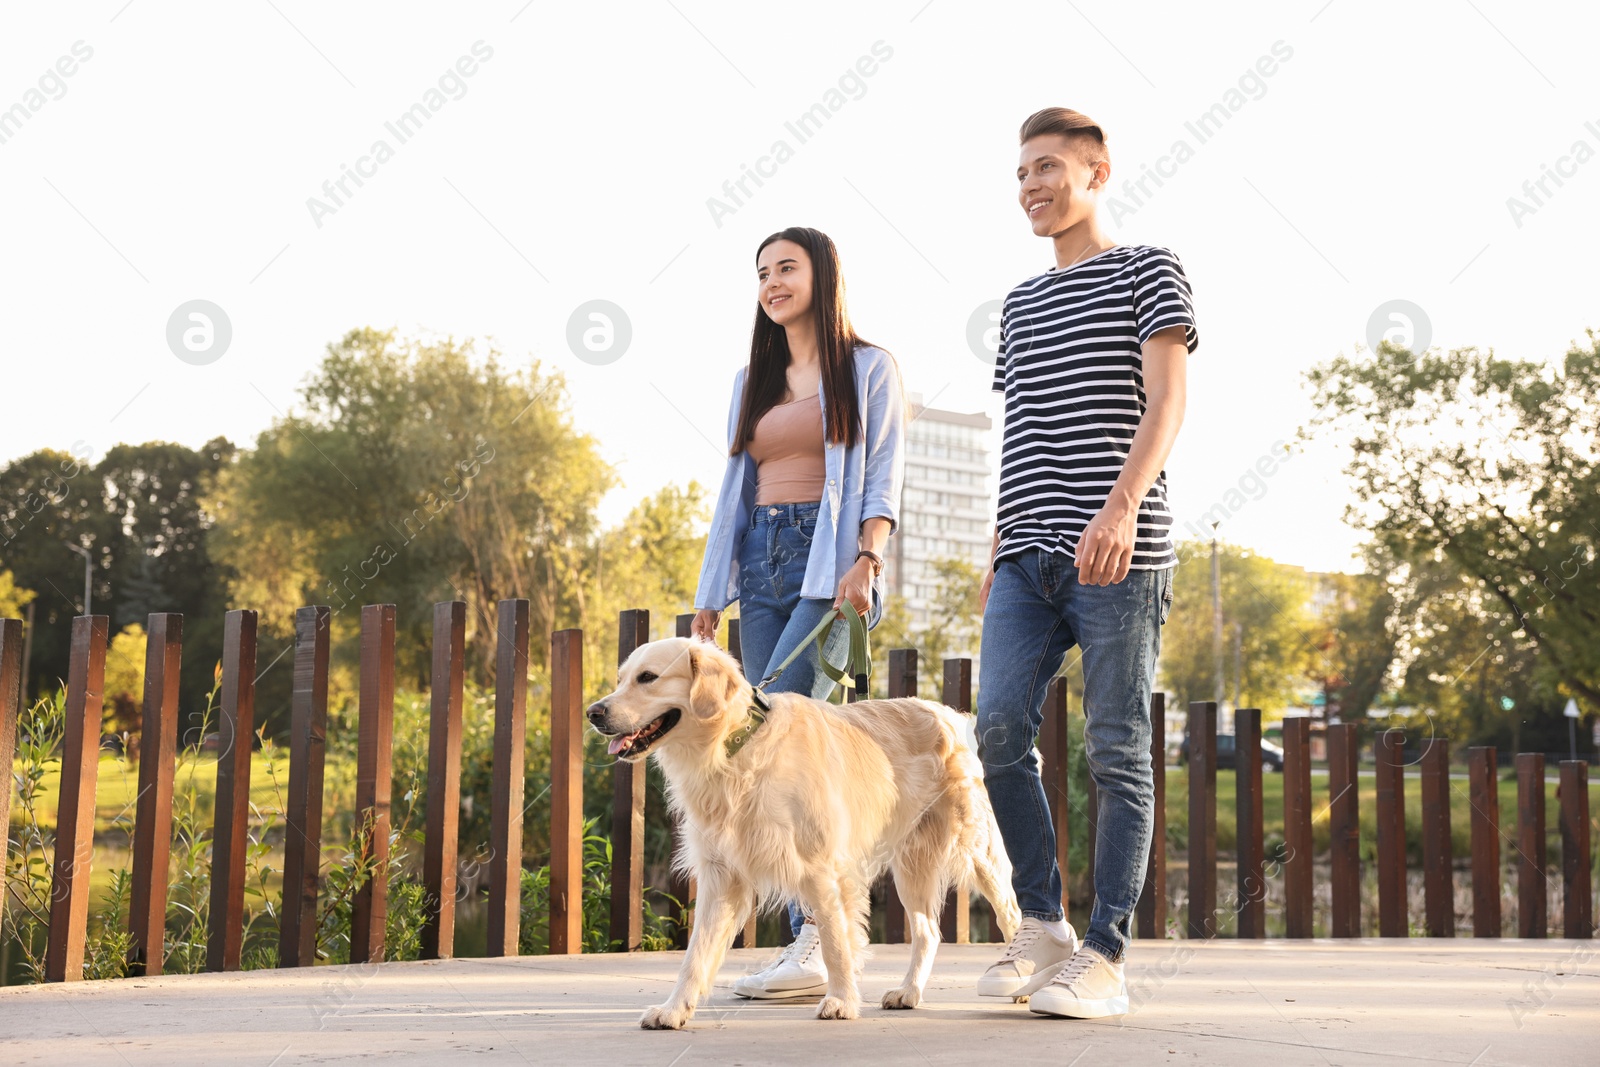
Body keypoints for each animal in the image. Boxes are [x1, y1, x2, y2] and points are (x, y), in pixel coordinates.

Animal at [588, 639, 1024, 1030]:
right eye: (622, 679)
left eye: (648, 677)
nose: (594, 712)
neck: (733, 750)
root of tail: (951, 715)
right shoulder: (722, 876)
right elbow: (695, 956)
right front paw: (674, 1010)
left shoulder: (823, 868)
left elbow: (834, 941)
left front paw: (842, 1001)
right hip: (913, 865)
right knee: (928, 931)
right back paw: (909, 992)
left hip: (979, 850)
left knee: (1011, 914)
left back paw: (1021, 981)